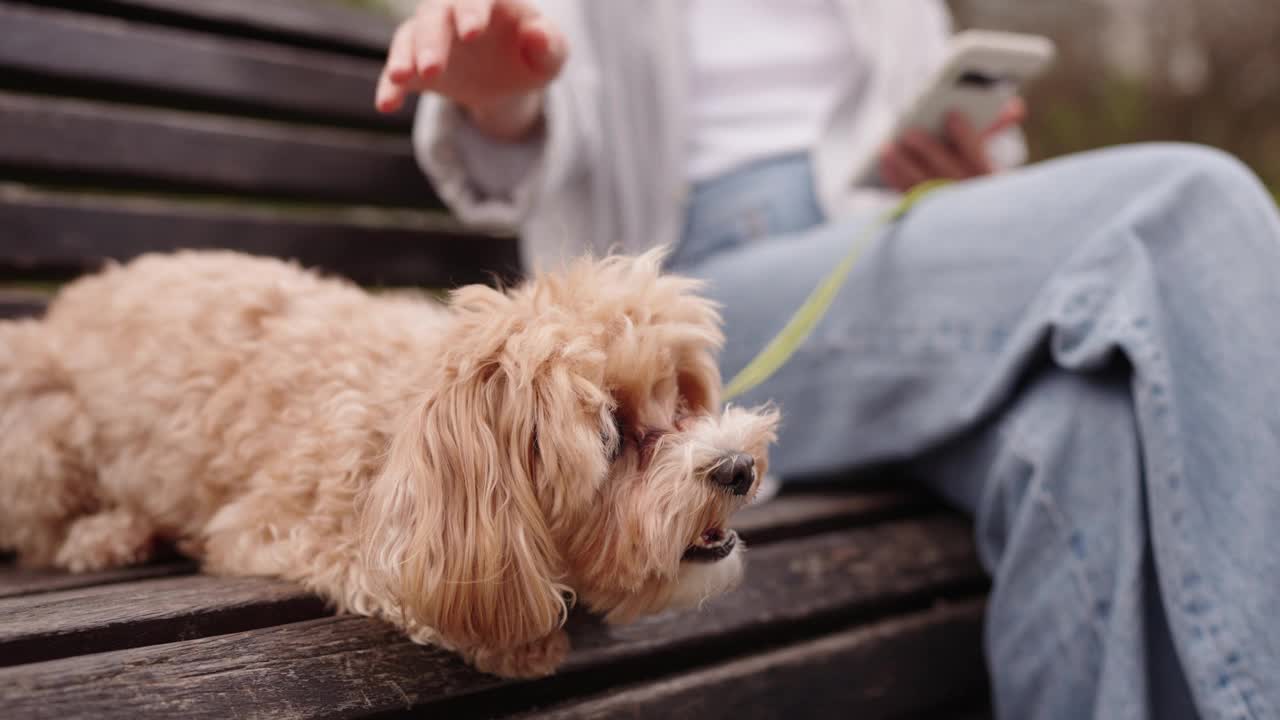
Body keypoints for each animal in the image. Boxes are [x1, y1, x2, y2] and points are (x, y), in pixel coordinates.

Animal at [0, 249, 778, 676]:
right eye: (612, 434)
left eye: (681, 396)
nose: (738, 467)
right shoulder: (279, 526)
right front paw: (517, 642)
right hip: (43, 431)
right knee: (41, 529)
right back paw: (109, 533)